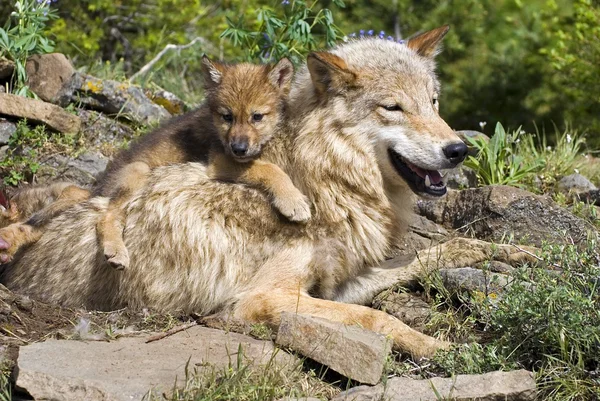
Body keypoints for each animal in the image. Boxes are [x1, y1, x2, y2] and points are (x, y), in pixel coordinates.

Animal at [1, 26, 536, 358]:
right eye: (394, 108)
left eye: (434, 102)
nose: (459, 150)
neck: (323, 179)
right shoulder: (263, 299)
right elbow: (377, 320)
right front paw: (442, 349)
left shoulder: (337, 281)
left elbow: (438, 251)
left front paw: (515, 252)